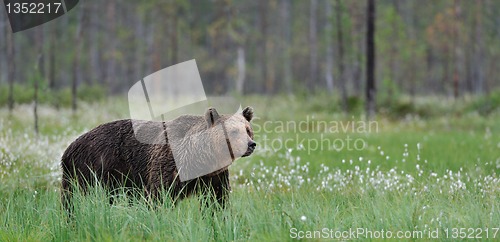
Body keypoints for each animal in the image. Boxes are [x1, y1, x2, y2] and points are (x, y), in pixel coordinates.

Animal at [61, 107, 256, 211]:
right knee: (77, 198)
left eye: (248, 130)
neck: (201, 159)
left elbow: (217, 200)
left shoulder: (213, 176)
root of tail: (71, 146)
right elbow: (159, 195)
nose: (251, 144)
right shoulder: (170, 166)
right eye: (234, 131)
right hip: (93, 168)